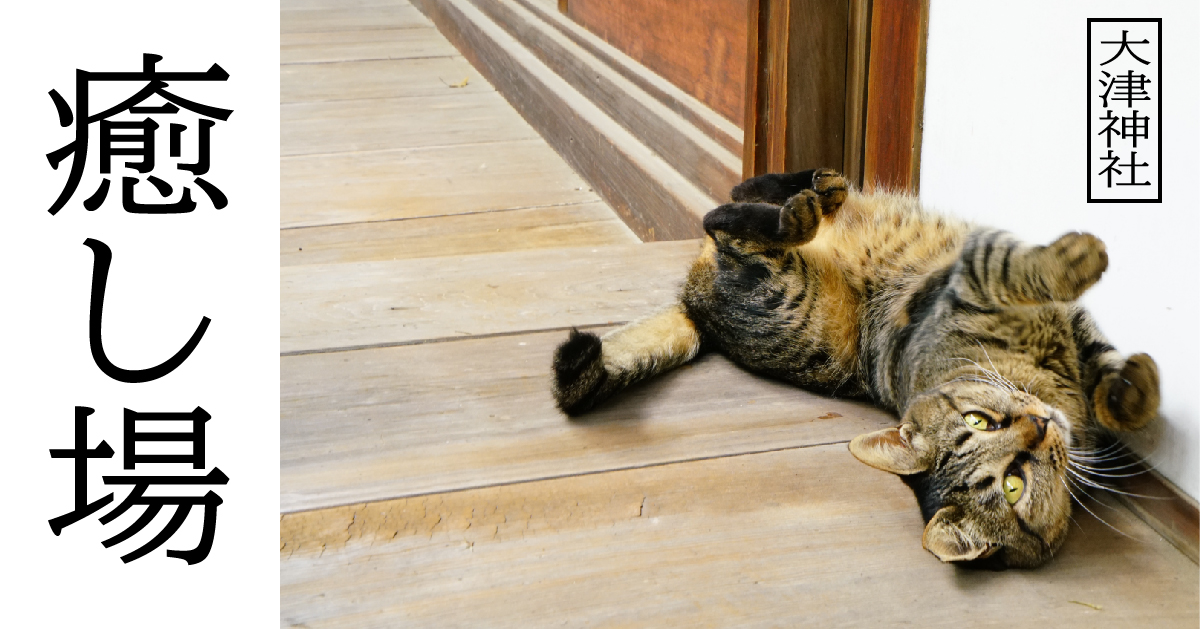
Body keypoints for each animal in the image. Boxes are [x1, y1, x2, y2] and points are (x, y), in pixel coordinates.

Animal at [549, 168, 1156, 568]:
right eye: (1011, 482)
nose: (1040, 425)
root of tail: (695, 308)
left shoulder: (1073, 338)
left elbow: (1107, 373)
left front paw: (1135, 390)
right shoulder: (976, 284)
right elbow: (1022, 267)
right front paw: (1080, 256)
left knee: (748, 195)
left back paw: (816, 188)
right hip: (780, 289)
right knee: (724, 219)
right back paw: (800, 207)